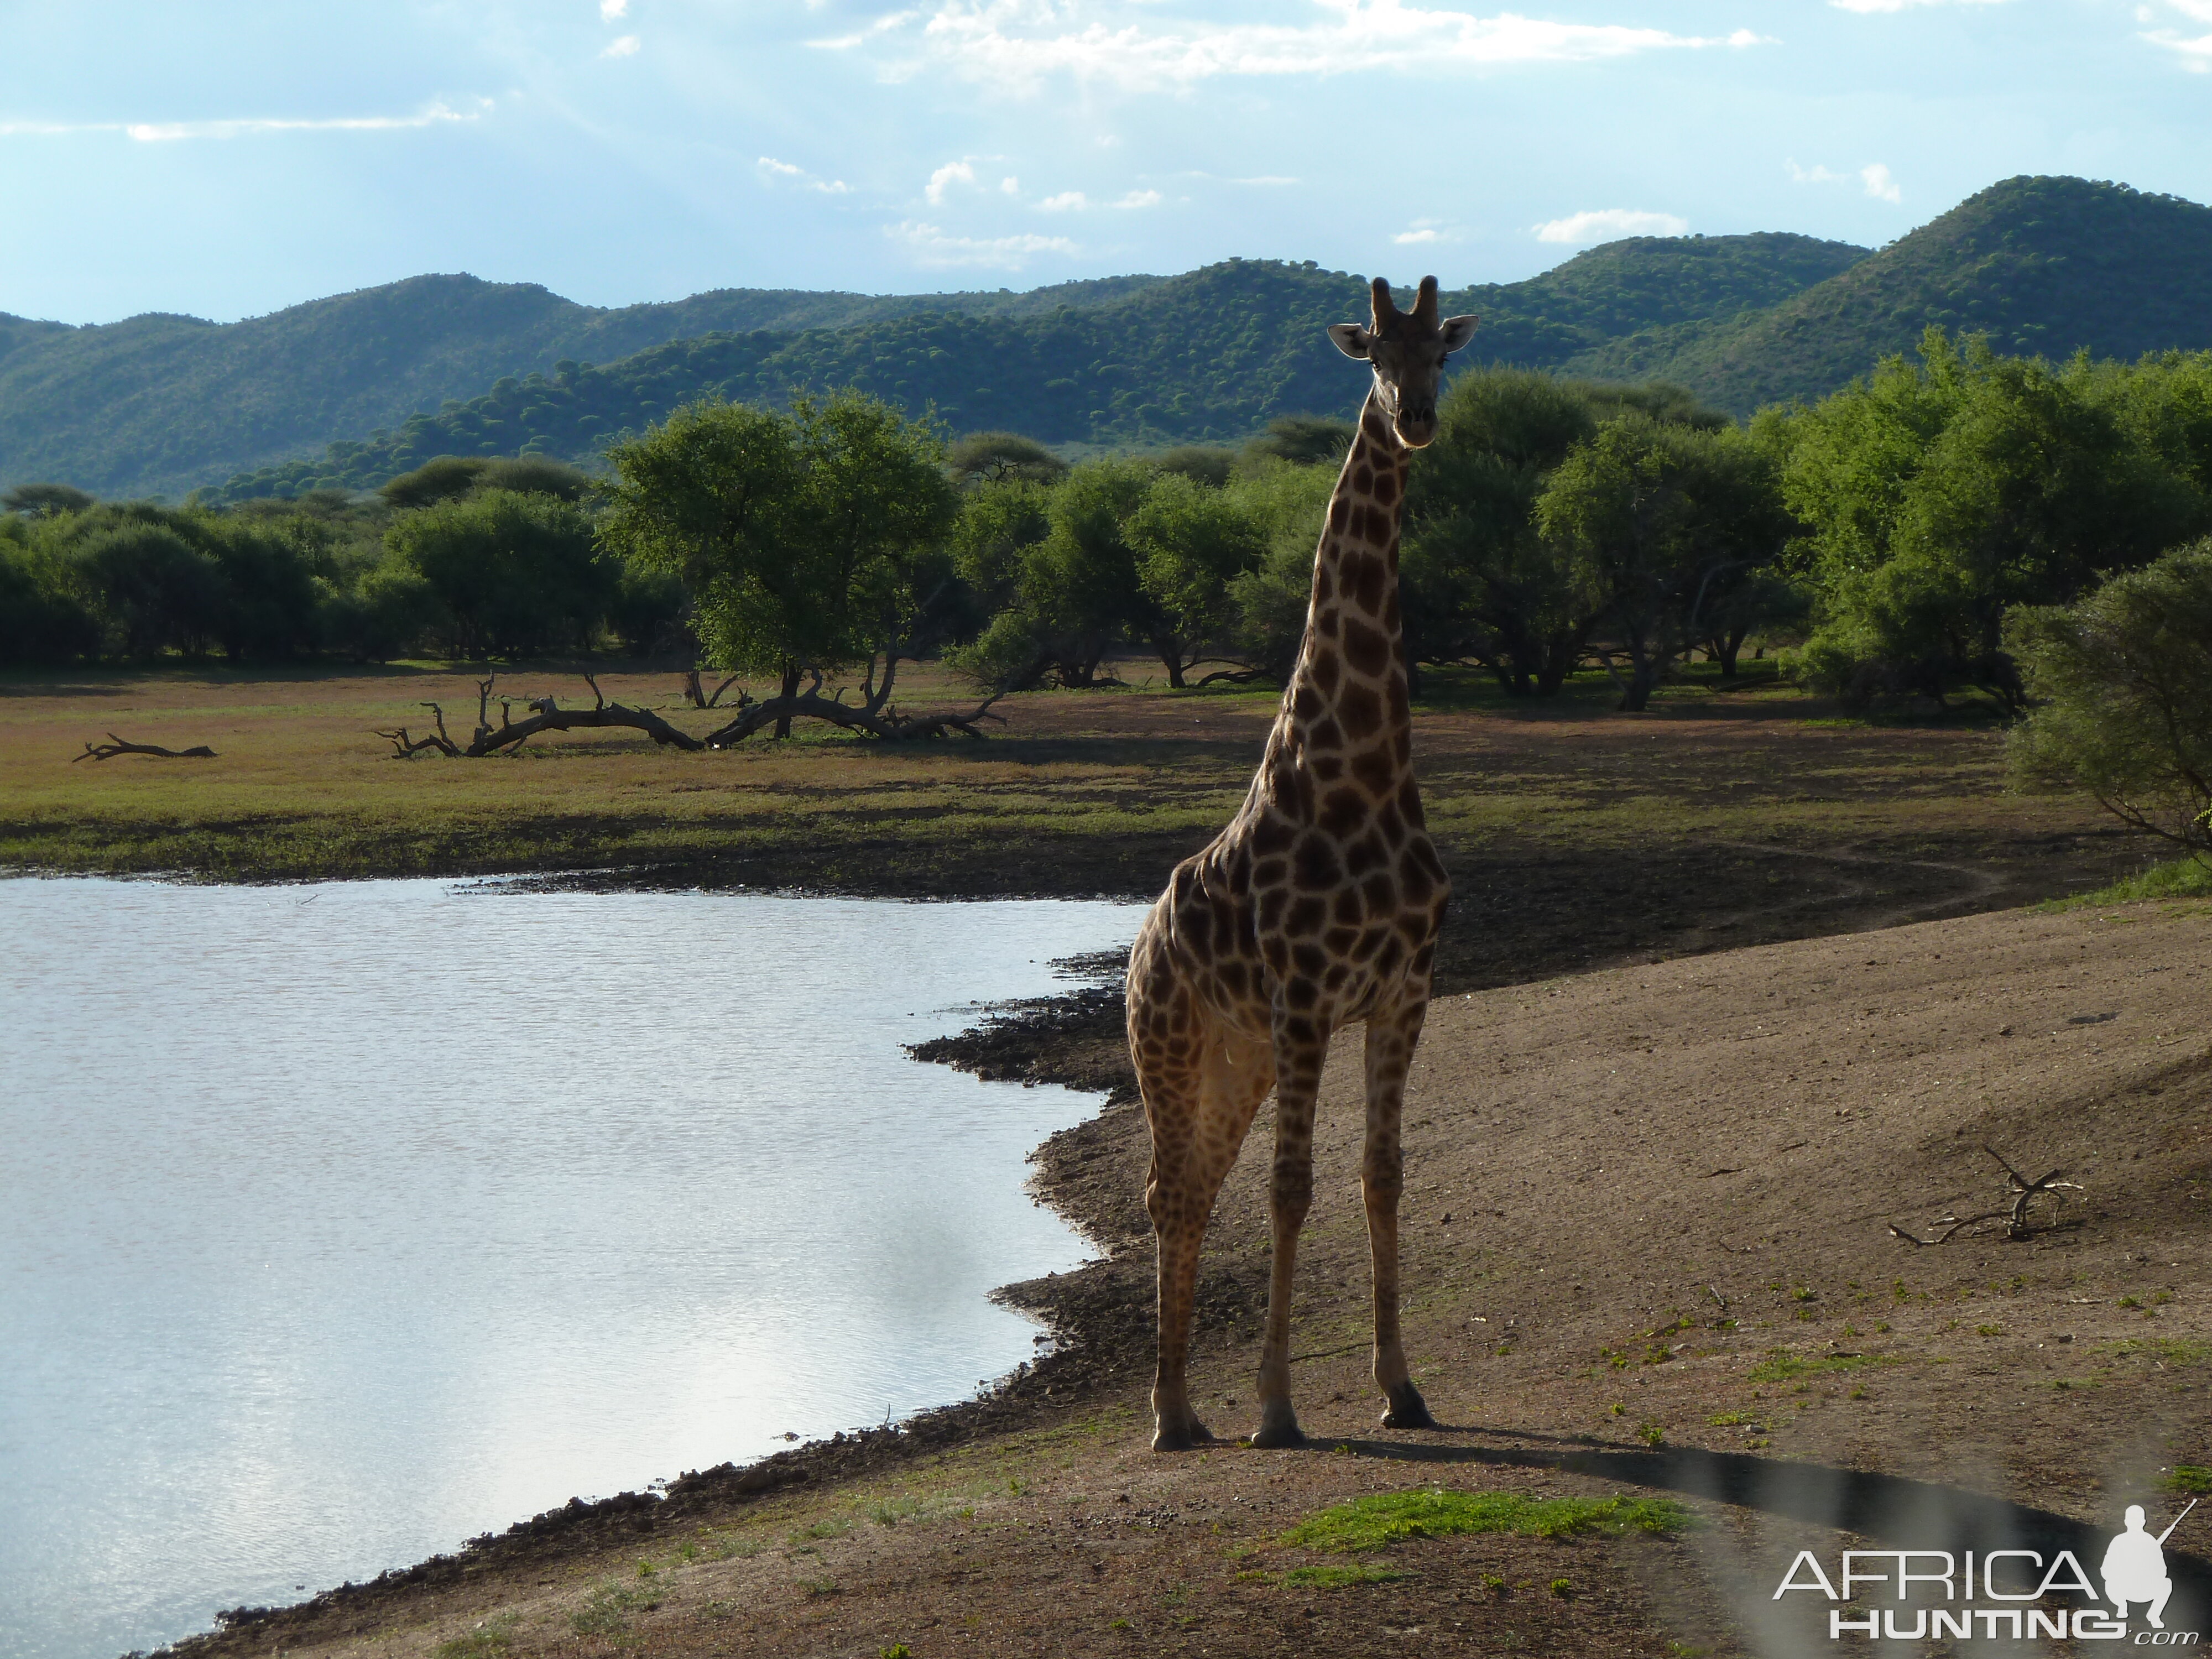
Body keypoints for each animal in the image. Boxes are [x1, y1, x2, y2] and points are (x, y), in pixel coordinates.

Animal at [1133, 276, 1478, 1451]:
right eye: (1371, 350)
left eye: (1444, 354)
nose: (1416, 419)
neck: (1363, 767)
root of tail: (1137, 946)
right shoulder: (1304, 997)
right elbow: (1292, 1189)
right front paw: (1277, 1407)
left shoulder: (1403, 991)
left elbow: (1383, 1176)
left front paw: (1402, 1388)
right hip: (1168, 1041)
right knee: (1168, 1191)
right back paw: (1171, 1413)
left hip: (1232, 1057)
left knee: (1196, 1185)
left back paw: (1187, 1410)